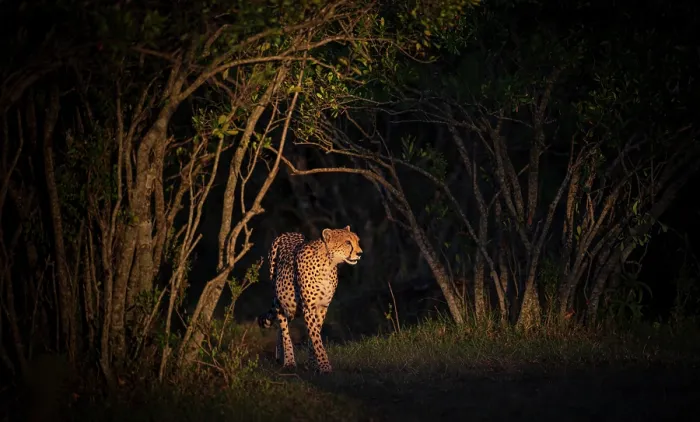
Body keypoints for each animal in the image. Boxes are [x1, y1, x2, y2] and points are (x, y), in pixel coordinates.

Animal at [258, 226, 363, 374]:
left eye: (357, 241)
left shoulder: (322, 307)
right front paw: (325, 366)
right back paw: (289, 362)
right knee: (284, 330)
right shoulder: (309, 307)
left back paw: (280, 357)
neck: (329, 264)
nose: (360, 253)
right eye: (347, 242)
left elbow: (314, 334)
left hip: (292, 308)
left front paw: (313, 364)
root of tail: (288, 233)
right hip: (280, 300)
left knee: (281, 328)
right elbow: (316, 338)